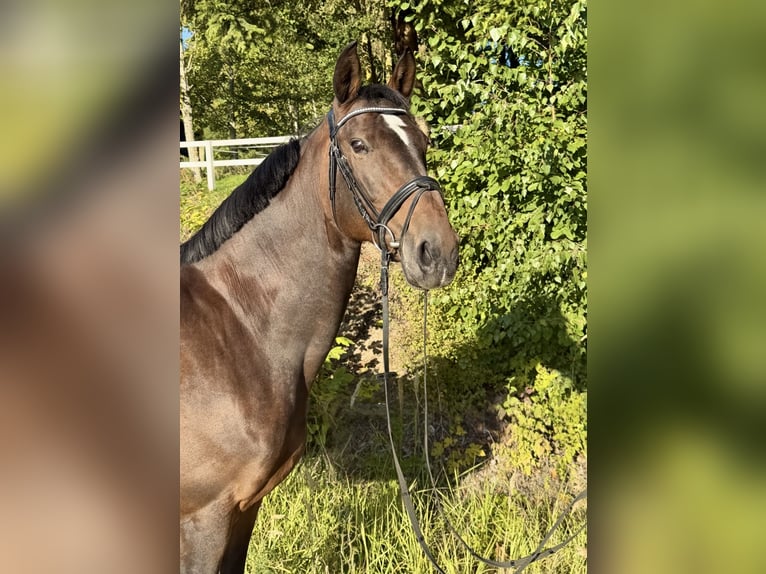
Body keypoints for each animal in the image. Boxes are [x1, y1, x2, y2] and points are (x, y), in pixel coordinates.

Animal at [180, 41, 459, 573]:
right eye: (359, 145)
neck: (238, 332)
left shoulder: (244, 510)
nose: (438, 253)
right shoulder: (203, 519)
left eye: (425, 142)